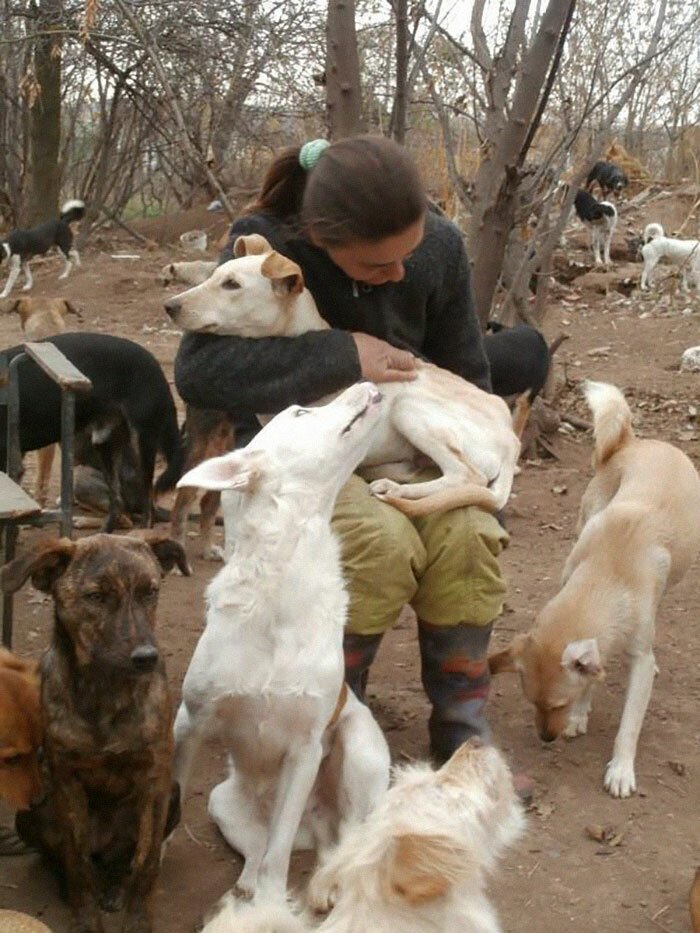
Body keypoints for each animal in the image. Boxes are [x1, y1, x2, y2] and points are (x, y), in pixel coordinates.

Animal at [0, 532, 189, 932]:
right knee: (66, 858)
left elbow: (147, 862)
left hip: (172, 797)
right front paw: (85, 916)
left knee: (122, 862)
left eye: (150, 591)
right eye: (96, 597)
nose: (147, 658)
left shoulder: (158, 780)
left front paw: (138, 919)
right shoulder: (66, 780)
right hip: (31, 811)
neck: (106, 693)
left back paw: (115, 886)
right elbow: (76, 860)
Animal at [172, 378, 392, 904]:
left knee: (344, 840)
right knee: (258, 852)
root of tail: (319, 829)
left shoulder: (305, 749)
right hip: (222, 801)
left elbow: (279, 855)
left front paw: (274, 906)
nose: (368, 381)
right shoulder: (190, 721)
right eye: (299, 412)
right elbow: (168, 805)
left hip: (361, 752)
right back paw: (248, 886)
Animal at [490, 378, 700, 792]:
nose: (546, 738)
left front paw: (621, 769)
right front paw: (580, 715)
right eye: (532, 703)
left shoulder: (638, 656)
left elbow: (629, 726)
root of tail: (634, 441)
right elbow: (592, 676)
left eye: (556, 704)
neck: (608, 573)